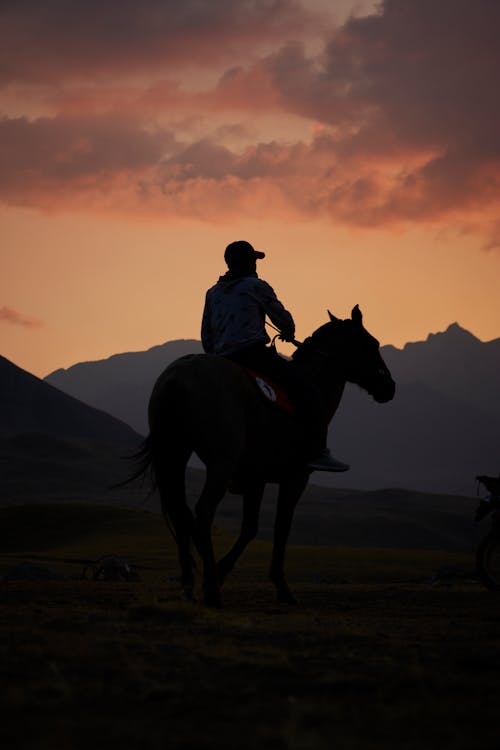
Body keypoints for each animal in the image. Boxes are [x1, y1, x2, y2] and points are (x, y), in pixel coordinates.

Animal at [136, 306, 394, 604]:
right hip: (221, 463)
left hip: (175, 455)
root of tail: (177, 378)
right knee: (203, 511)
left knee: (181, 511)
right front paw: (280, 587)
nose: (389, 386)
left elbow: (250, 528)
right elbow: (280, 527)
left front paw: (222, 571)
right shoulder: (295, 479)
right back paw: (211, 590)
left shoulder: (255, 479)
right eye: (371, 344)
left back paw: (189, 585)